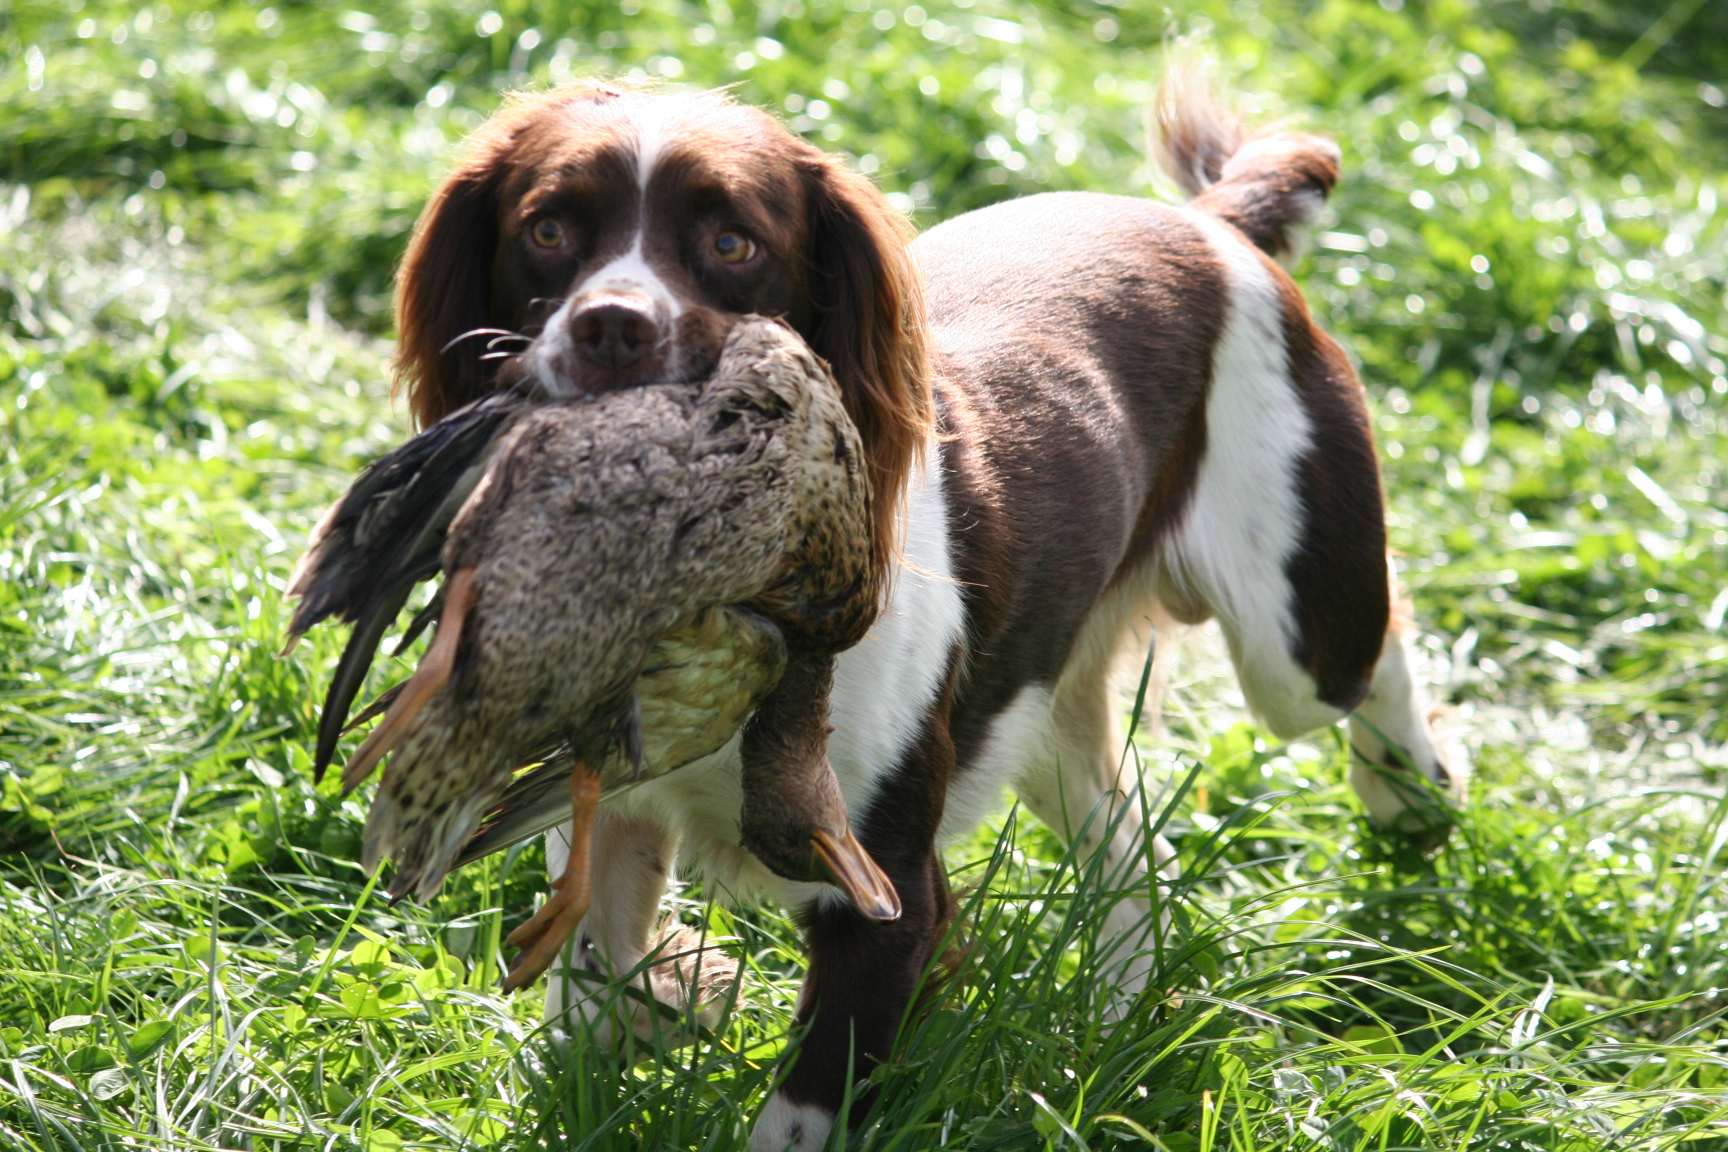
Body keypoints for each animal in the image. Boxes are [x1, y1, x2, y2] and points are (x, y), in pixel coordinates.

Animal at [395, 74, 1458, 1152]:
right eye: (548, 229)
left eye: (734, 244)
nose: (611, 328)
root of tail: (1212, 226)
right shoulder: (613, 811)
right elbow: (594, 987)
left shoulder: (890, 897)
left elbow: (798, 1110)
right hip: (1042, 704)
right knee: (1129, 845)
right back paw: (1118, 1028)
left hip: (1294, 632)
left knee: (1371, 651)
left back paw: (1410, 790)